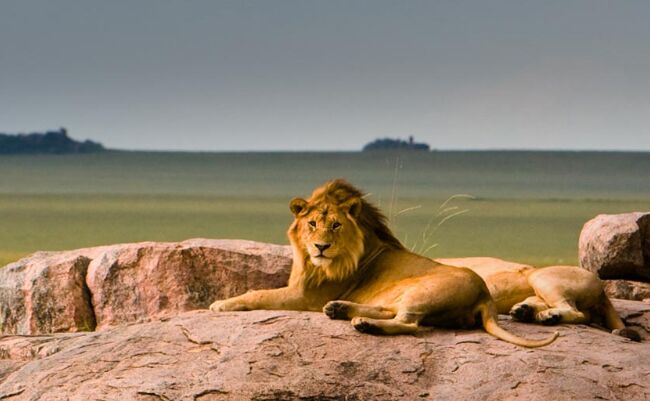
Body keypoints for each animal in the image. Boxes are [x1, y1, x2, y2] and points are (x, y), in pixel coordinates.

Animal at [209, 179, 556, 346]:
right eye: (312, 224)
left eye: (336, 225)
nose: (321, 246)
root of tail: (485, 296)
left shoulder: (305, 296)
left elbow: (258, 293)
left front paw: (221, 304)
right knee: (392, 311)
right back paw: (341, 310)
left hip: (423, 290)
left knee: (409, 323)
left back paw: (364, 324)